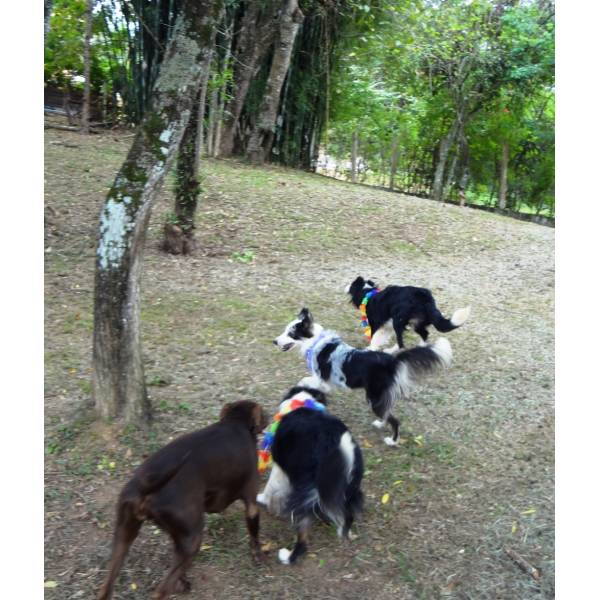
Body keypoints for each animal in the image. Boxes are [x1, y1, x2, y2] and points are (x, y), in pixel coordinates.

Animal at [96, 398, 270, 600]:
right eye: (264, 413)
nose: (269, 417)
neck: (234, 423)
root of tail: (145, 489)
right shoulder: (251, 503)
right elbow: (254, 535)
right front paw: (259, 556)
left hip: (124, 536)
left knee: (106, 587)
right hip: (193, 540)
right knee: (160, 590)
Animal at [256, 386, 364, 564]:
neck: (302, 402)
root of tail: (335, 444)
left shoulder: (280, 467)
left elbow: (270, 486)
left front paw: (262, 499)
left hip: (303, 494)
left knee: (303, 536)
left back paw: (288, 556)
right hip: (350, 488)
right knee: (347, 514)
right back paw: (345, 532)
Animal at [274, 310, 452, 446]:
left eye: (291, 333)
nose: (274, 341)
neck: (315, 342)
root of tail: (391, 361)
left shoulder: (322, 380)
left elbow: (304, 381)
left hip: (374, 397)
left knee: (395, 421)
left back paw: (392, 441)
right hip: (379, 397)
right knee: (387, 412)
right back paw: (380, 423)